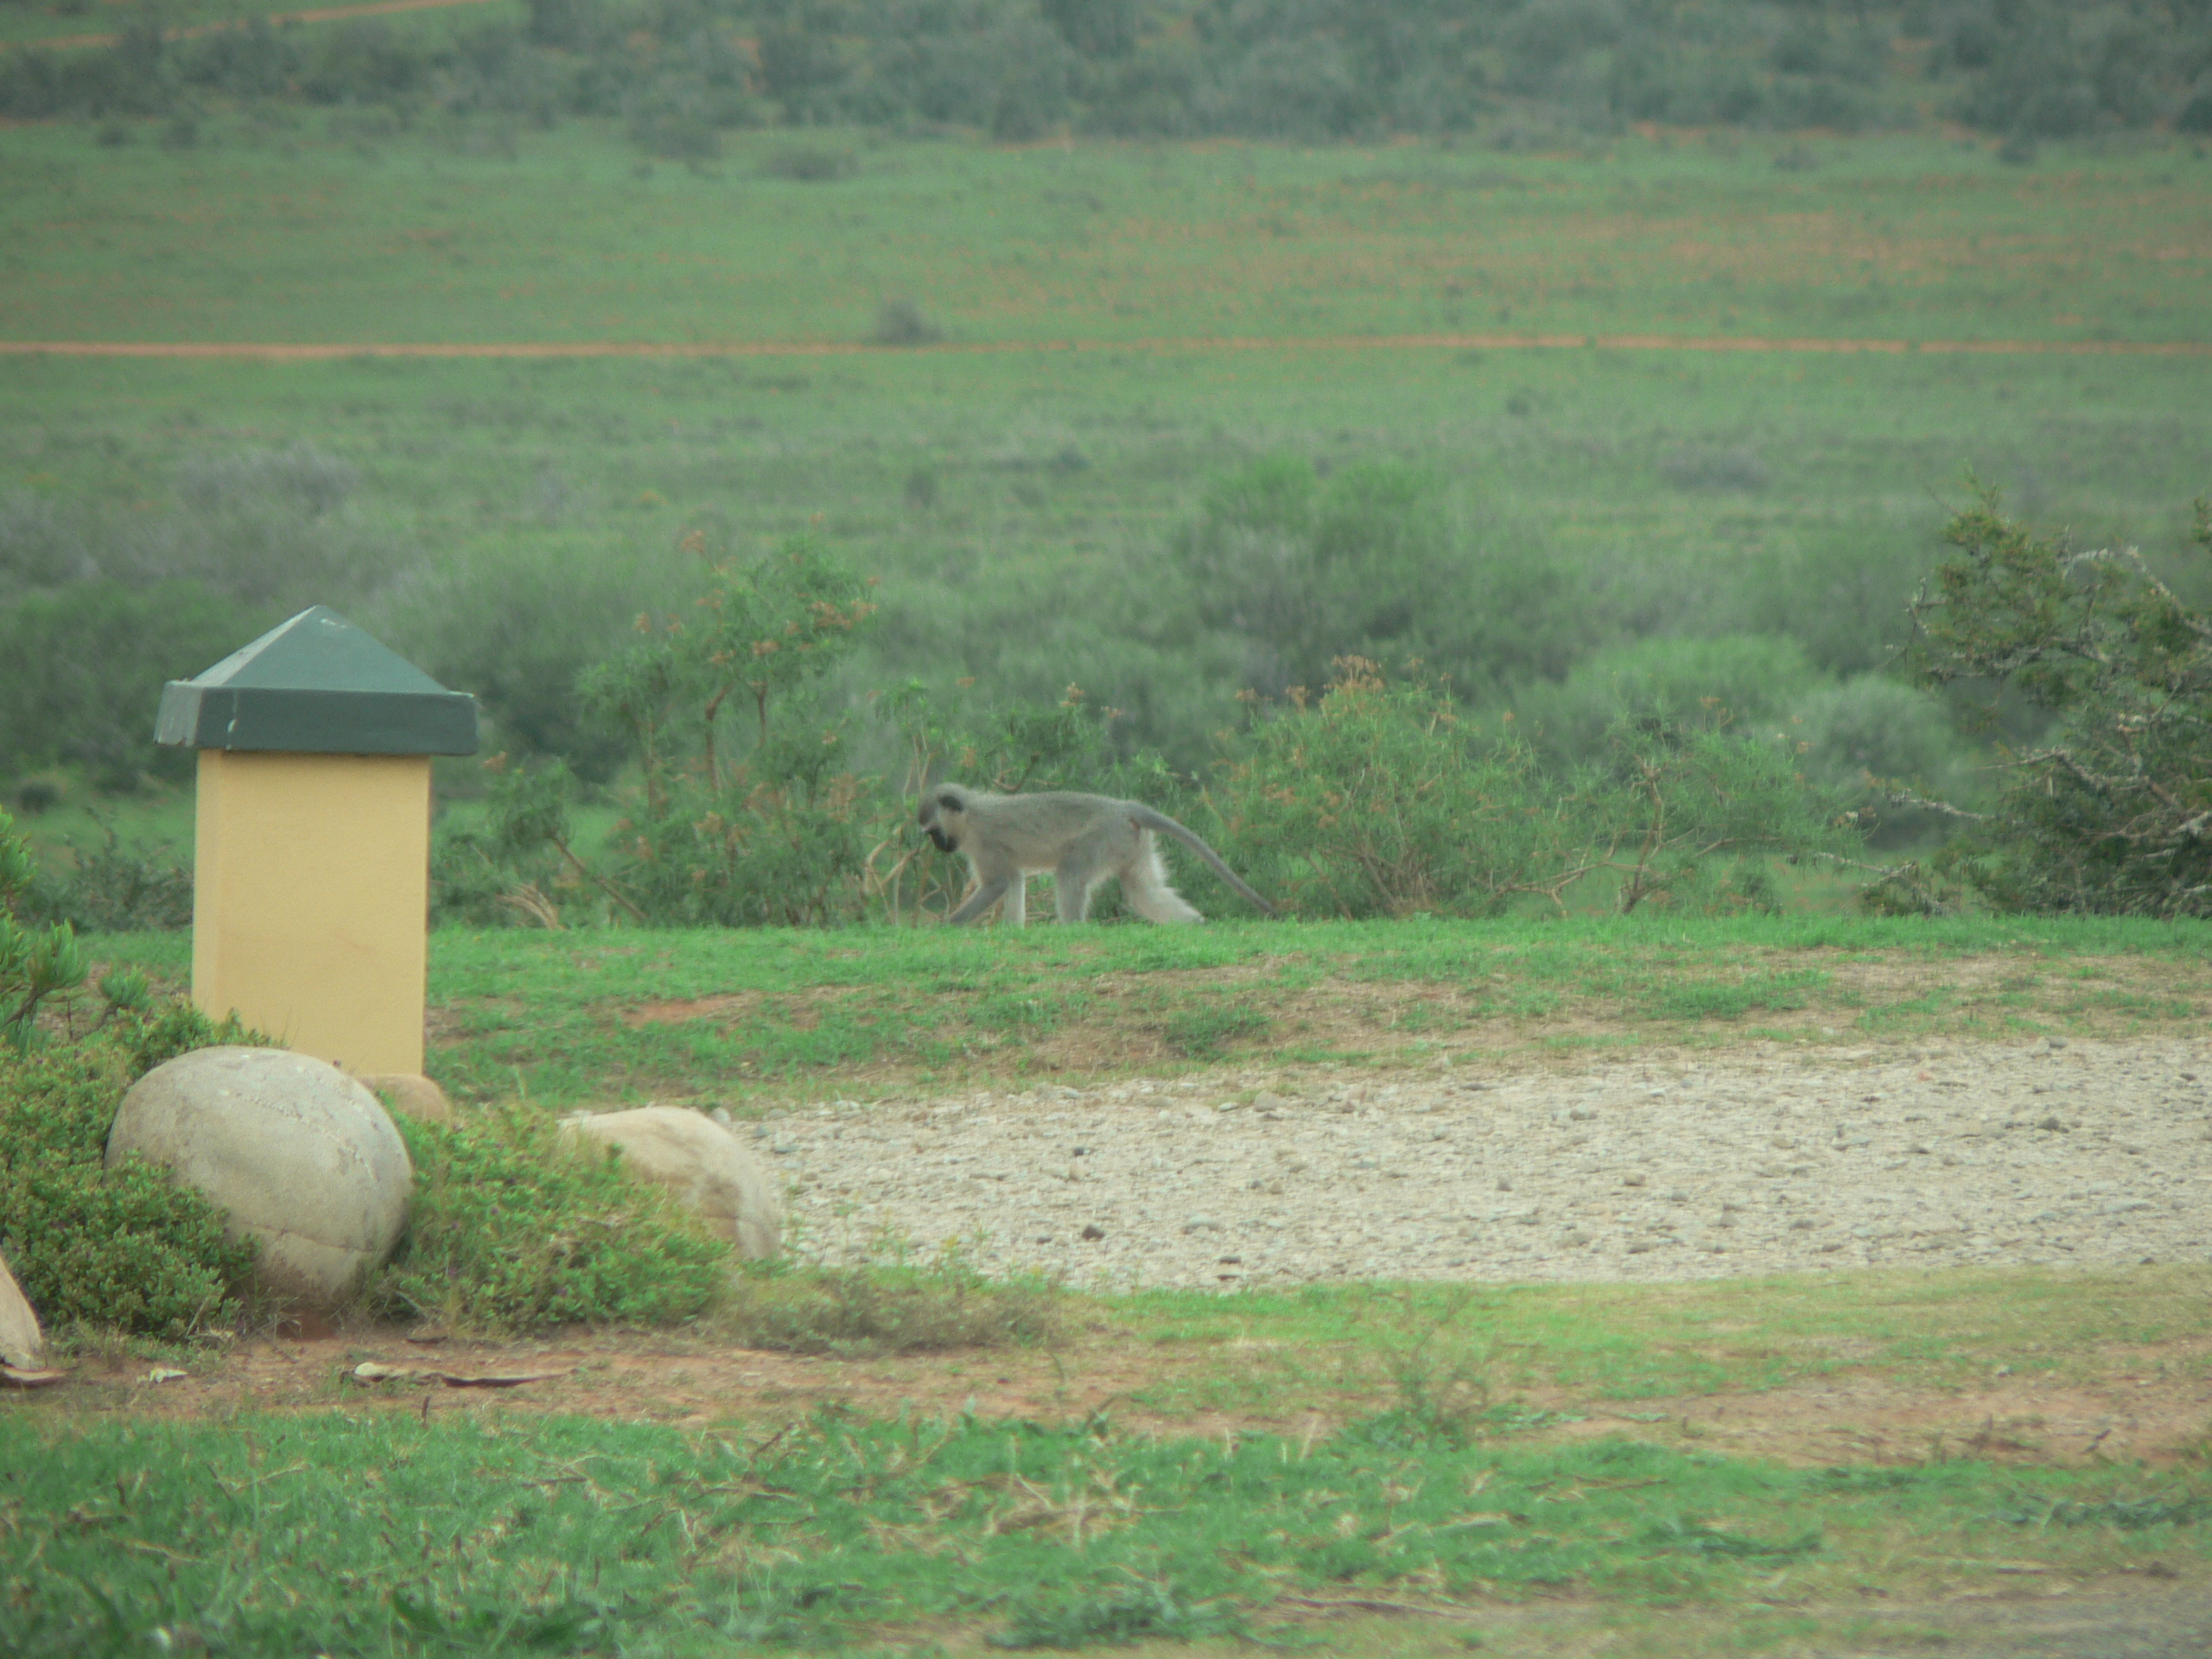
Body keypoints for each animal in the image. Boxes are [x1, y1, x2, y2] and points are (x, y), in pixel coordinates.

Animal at [919, 787, 1282, 929]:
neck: (971, 814)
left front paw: (944, 927)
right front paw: (1013, 930)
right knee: (1143, 891)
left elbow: (997, 885)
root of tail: (1124, 807)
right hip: (1130, 842)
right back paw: (1195, 924)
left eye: (934, 832)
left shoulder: (984, 843)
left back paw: (1071, 929)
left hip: (1104, 837)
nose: (940, 847)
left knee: (1069, 873)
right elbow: (1015, 880)